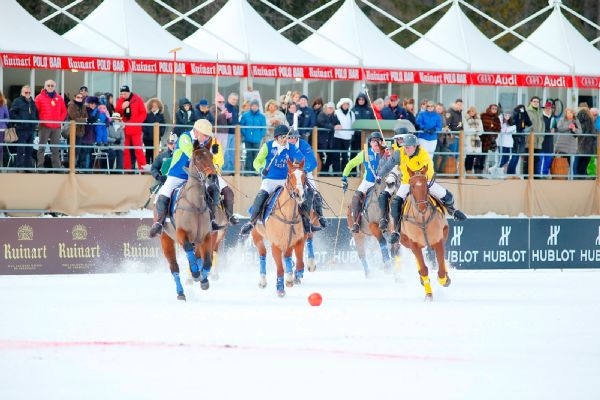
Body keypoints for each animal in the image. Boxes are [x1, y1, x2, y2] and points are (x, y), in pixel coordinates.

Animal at [159, 147, 218, 300]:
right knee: (175, 267)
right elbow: (188, 249)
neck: (195, 205)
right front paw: (196, 273)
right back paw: (181, 292)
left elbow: (207, 261)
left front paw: (204, 280)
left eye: (211, 156)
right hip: (166, 238)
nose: (212, 176)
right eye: (197, 158)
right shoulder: (181, 233)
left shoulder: (206, 236)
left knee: (196, 257)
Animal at [252, 159, 310, 296]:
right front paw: (280, 289)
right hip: (257, 236)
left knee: (288, 257)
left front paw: (292, 277)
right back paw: (262, 281)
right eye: (290, 175)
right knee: (262, 254)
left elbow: (297, 261)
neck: (289, 215)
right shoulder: (276, 245)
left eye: (304, 176)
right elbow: (279, 268)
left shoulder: (296, 240)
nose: (299, 195)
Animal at [398, 166, 450, 300]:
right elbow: (423, 268)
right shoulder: (413, 243)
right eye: (412, 185)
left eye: (426, 185)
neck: (422, 220)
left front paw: (444, 279)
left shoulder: (438, 240)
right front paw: (428, 295)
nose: (422, 207)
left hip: (444, 233)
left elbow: (441, 268)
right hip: (405, 241)